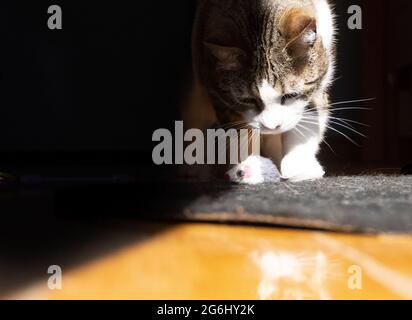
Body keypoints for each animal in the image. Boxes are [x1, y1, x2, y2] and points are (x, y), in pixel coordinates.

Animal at [185, 0, 336, 182]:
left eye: (290, 95)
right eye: (248, 100)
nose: (273, 126)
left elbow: (309, 115)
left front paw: (299, 165)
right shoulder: (216, 89)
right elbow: (241, 129)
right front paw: (250, 165)